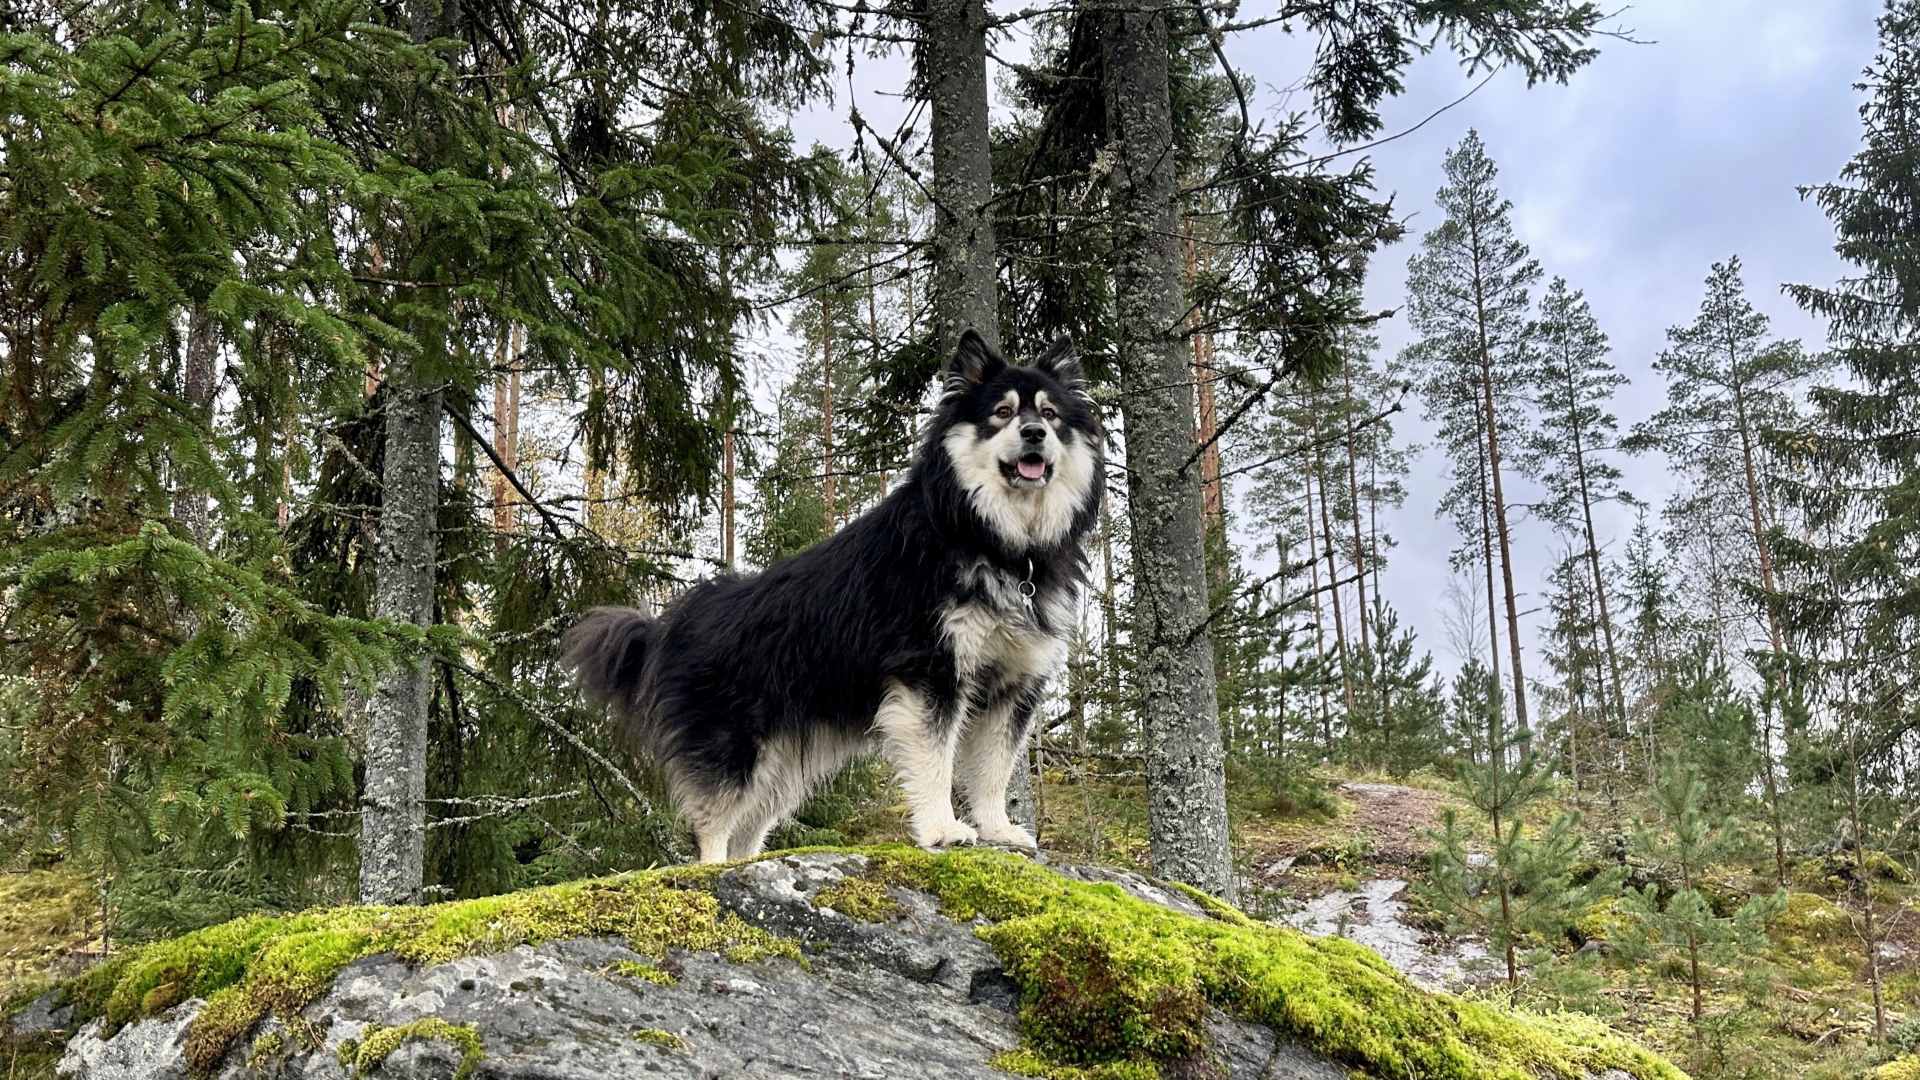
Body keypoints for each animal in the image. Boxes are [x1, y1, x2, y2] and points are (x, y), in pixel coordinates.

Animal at [560, 328, 1105, 857]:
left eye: (1050, 416)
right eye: (1003, 413)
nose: (1034, 434)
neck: (996, 541)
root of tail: (668, 625)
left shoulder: (1012, 686)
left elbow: (993, 773)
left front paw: (999, 830)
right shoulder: (930, 673)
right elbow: (936, 764)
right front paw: (942, 830)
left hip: (780, 771)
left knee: (746, 834)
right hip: (733, 750)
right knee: (712, 830)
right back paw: (712, 871)